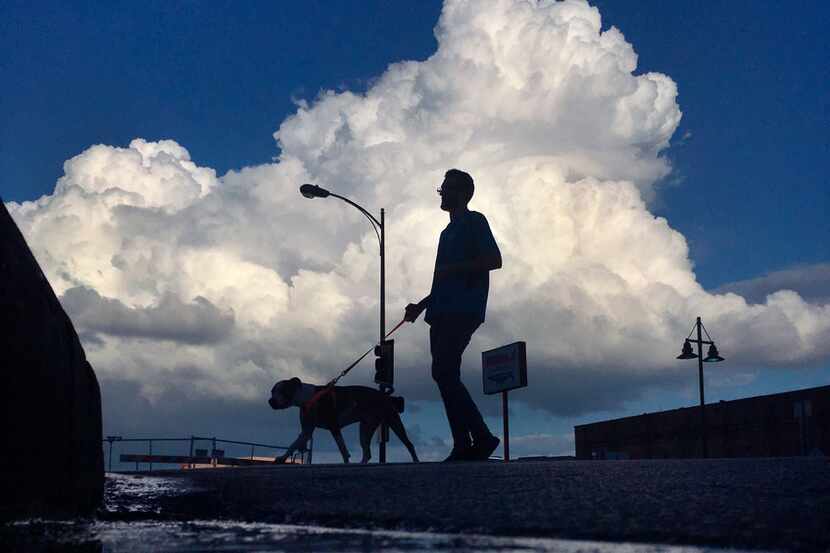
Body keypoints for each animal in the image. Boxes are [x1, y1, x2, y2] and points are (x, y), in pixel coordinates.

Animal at [270, 378, 420, 464]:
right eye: (272, 391)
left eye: (282, 391)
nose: (270, 401)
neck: (308, 397)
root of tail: (385, 395)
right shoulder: (306, 431)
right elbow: (293, 444)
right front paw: (282, 458)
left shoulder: (334, 427)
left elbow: (342, 448)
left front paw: (346, 461)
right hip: (365, 429)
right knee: (367, 452)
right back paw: (361, 463)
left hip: (394, 421)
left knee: (409, 444)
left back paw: (416, 461)